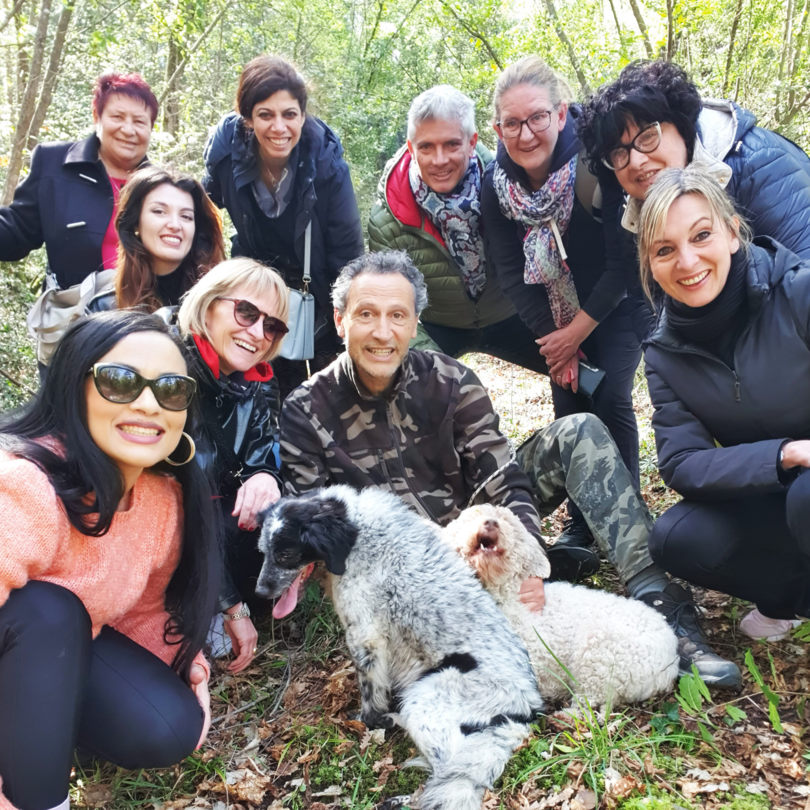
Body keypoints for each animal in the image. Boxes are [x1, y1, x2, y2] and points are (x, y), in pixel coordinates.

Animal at [256, 486, 544, 810]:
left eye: (286, 553)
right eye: (263, 551)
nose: (259, 591)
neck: (356, 536)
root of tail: (524, 712)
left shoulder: (365, 636)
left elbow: (370, 693)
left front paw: (366, 722)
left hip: (425, 699)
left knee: (446, 773)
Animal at [444, 505, 679, 713]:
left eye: (509, 523)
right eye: (472, 516)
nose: (491, 523)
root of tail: (672, 660)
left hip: (600, 653)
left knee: (592, 699)